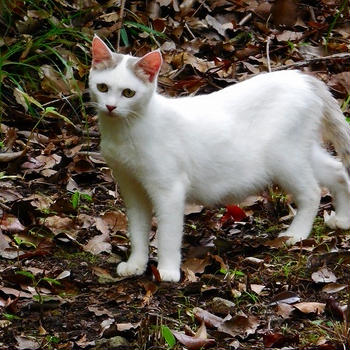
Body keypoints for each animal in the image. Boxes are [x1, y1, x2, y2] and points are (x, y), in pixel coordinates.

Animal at [89, 35, 350, 282]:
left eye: (128, 93)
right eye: (102, 87)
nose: (110, 107)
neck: (125, 131)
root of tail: (303, 78)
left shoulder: (169, 189)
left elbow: (168, 235)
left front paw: (167, 271)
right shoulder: (132, 189)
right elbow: (138, 231)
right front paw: (136, 264)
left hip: (285, 159)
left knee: (313, 192)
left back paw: (296, 234)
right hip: (302, 152)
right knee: (338, 173)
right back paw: (343, 219)